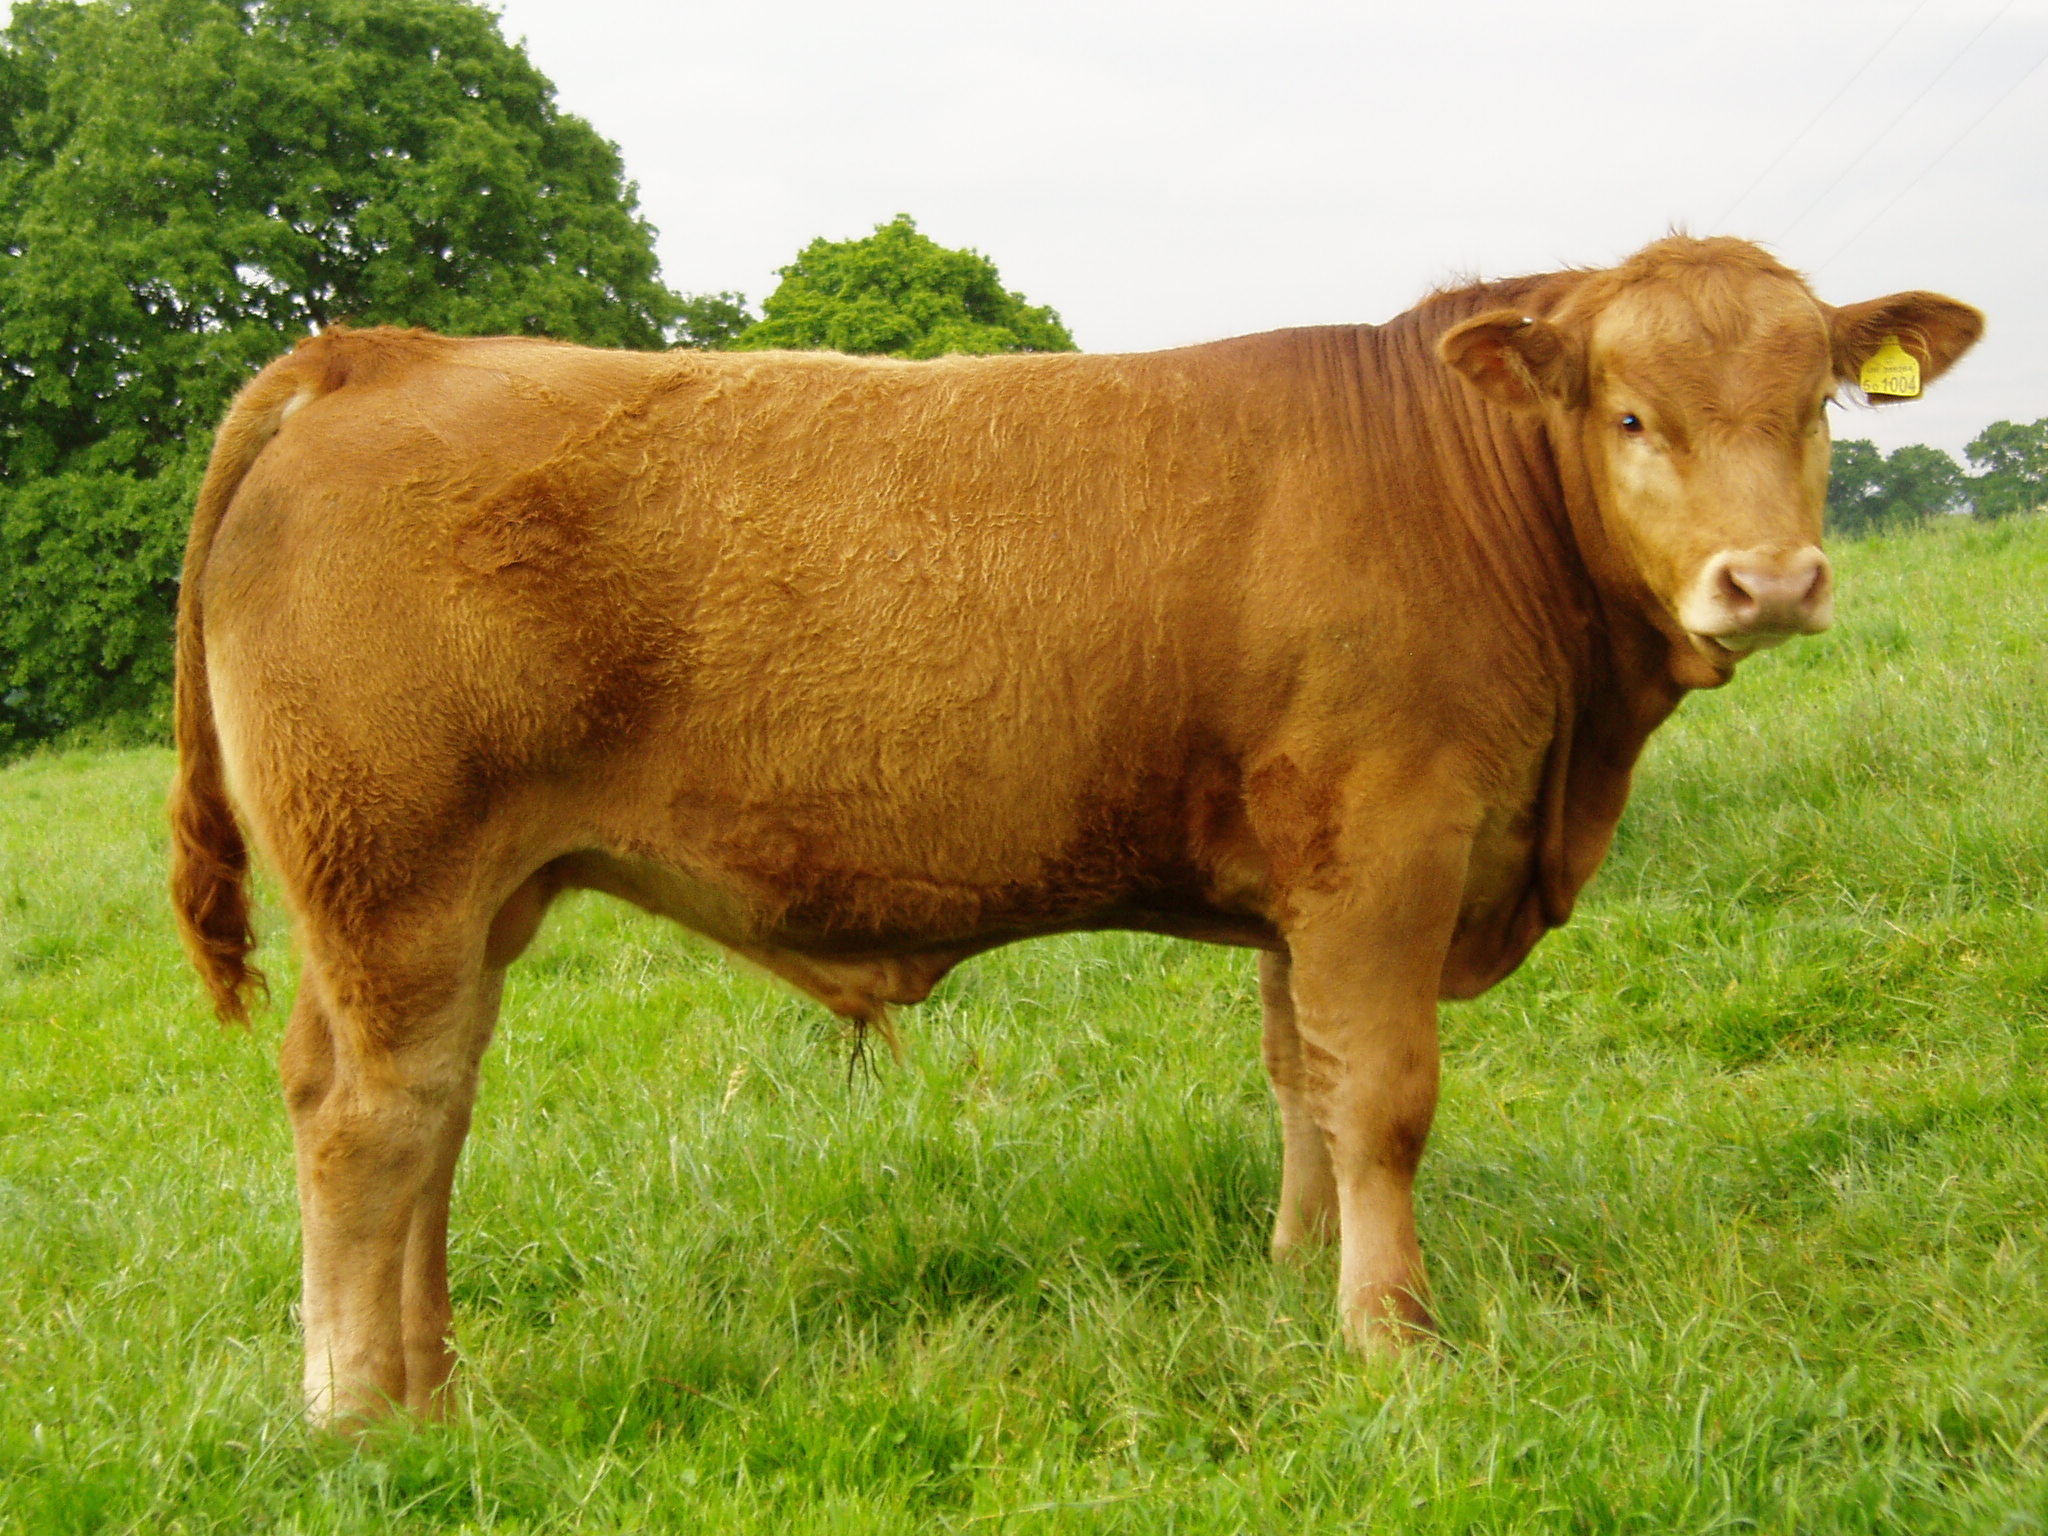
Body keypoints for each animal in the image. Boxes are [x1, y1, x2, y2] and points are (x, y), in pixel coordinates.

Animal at [168, 236, 1981, 1423]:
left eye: (1817, 404)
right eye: (1626, 415)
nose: (1769, 579)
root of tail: (375, 350)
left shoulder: (1307, 883)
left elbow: (1304, 1080)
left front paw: (1293, 1277)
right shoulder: (1387, 844)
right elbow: (1385, 1095)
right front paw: (1390, 1331)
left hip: (465, 901)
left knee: (431, 1116)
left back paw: (434, 1385)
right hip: (393, 880)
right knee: (373, 1122)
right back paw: (363, 1414)